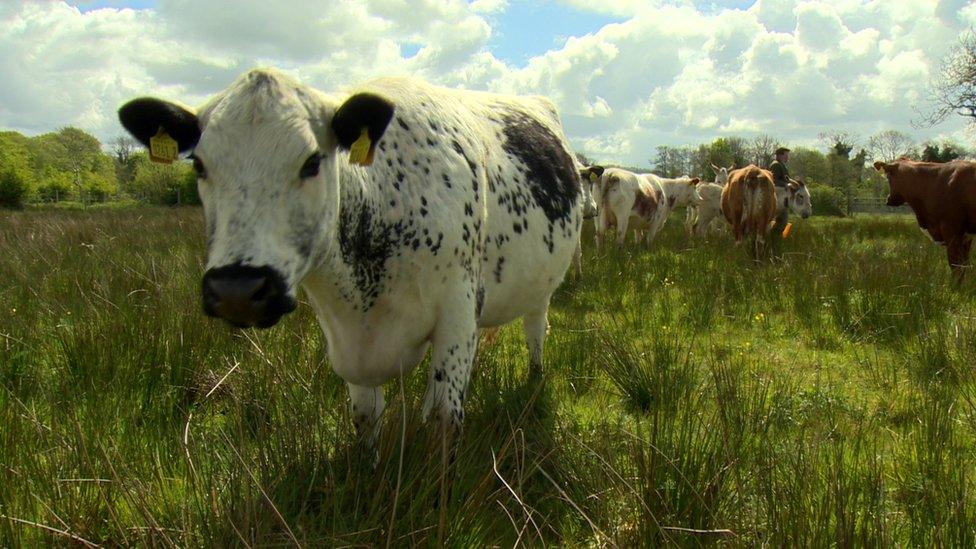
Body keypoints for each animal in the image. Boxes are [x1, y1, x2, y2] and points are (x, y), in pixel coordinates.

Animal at [117, 67, 584, 446]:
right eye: (198, 165)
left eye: (312, 161)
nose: (237, 289)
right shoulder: (345, 335)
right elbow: (365, 417)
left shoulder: (457, 314)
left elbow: (445, 420)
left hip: (541, 290)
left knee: (535, 330)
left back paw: (535, 377)